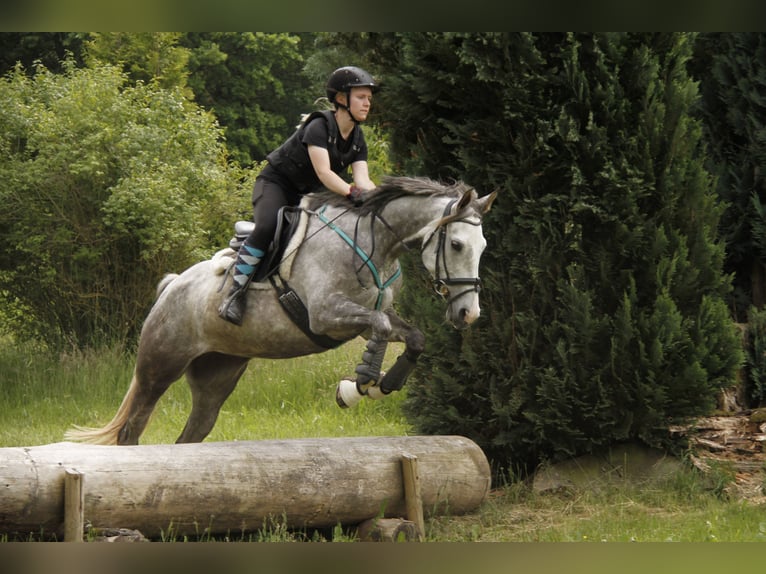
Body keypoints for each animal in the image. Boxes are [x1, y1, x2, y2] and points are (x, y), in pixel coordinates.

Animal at [66, 178, 498, 448]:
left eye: (482, 246)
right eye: (456, 244)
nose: (468, 313)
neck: (375, 242)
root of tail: (171, 287)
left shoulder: (366, 319)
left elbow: (412, 336)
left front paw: (380, 383)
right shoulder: (326, 316)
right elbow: (376, 328)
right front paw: (358, 384)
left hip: (216, 375)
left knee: (192, 432)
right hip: (159, 367)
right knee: (131, 431)